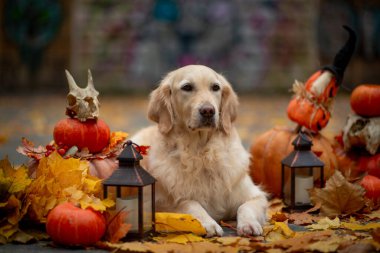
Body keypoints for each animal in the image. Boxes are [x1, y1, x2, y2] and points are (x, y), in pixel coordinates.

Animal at [132, 64, 268, 236]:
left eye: (215, 87)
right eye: (187, 87)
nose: (208, 111)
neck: (202, 153)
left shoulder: (256, 195)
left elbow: (245, 206)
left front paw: (248, 224)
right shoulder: (161, 203)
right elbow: (190, 203)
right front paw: (209, 223)